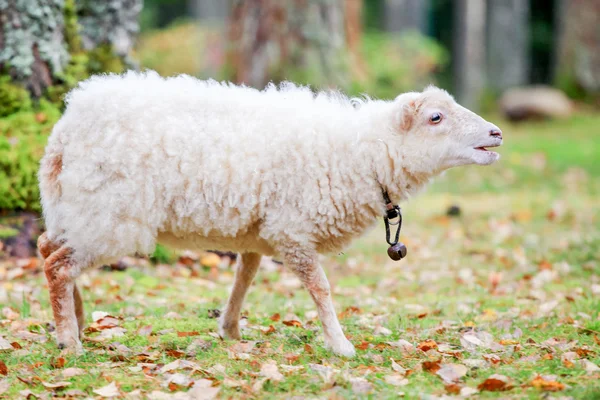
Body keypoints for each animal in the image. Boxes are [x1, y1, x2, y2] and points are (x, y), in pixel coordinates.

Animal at [38, 70, 502, 354]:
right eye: (436, 117)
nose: (496, 134)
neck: (362, 152)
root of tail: (66, 127)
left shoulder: (259, 232)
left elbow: (244, 278)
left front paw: (229, 330)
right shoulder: (292, 230)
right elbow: (321, 288)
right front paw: (340, 345)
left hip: (74, 207)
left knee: (47, 248)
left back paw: (75, 321)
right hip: (109, 215)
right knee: (59, 265)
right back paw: (69, 341)